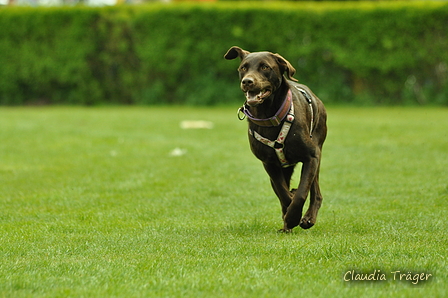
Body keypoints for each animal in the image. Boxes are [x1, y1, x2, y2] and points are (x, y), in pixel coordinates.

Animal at [226, 46, 328, 233]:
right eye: (243, 68)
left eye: (265, 67)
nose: (247, 81)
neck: (269, 116)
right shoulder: (269, 164)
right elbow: (283, 193)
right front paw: (289, 217)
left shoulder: (311, 157)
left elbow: (302, 192)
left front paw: (294, 216)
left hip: (318, 152)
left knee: (316, 191)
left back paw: (308, 218)